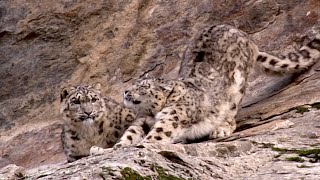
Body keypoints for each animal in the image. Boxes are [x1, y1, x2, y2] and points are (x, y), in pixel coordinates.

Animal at [114, 24, 318, 148]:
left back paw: (221, 128)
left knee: (231, 113)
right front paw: (117, 146)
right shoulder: (141, 120)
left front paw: (143, 144)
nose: (125, 91)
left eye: (142, 86)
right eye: (134, 83)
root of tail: (244, 35)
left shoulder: (172, 118)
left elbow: (158, 134)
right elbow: (131, 132)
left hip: (237, 87)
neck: (152, 113)